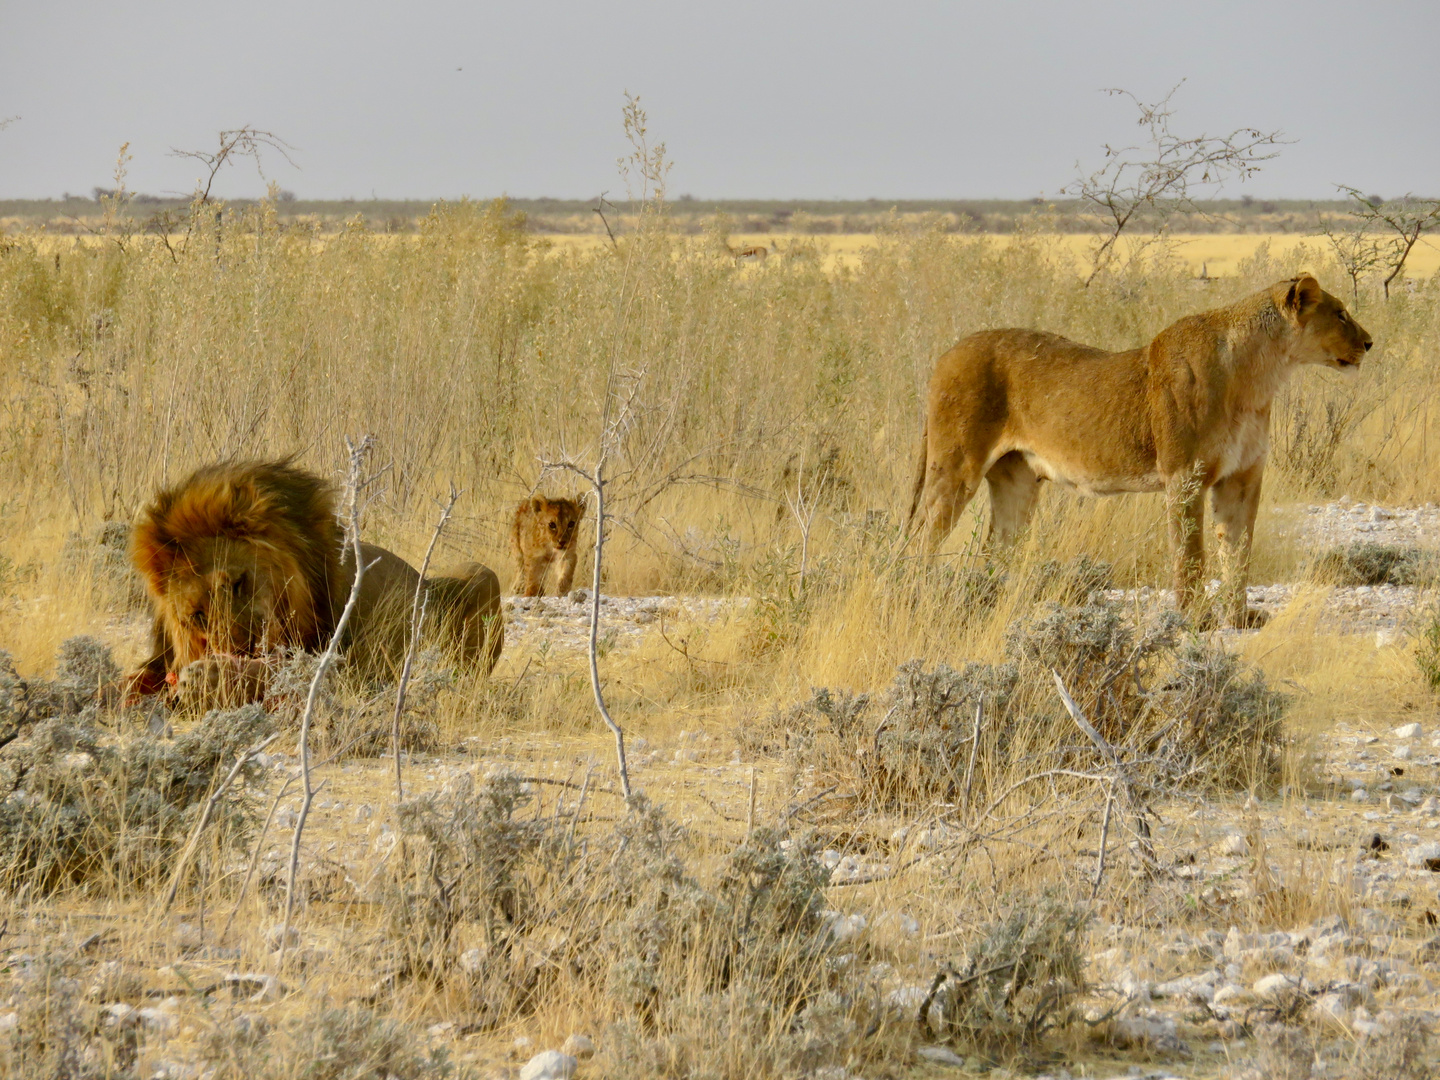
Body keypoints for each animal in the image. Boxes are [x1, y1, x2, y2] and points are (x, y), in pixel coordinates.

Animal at [125, 463, 506, 711]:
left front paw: (214, 680)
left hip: (480, 573)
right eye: (197, 616)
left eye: (236, 583)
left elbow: (285, 672)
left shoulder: (359, 660)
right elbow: (131, 680)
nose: (242, 648)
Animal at [910, 275, 1370, 630]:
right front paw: (1195, 619)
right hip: (955, 468)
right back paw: (916, 595)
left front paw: (1240, 618)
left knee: (995, 547)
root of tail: (945, 355)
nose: (1368, 342)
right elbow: (1190, 553)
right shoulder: (1184, 475)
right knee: (920, 538)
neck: (1260, 377)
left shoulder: (1242, 479)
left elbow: (1238, 551)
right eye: (1340, 314)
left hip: (1017, 482)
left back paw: (997, 606)